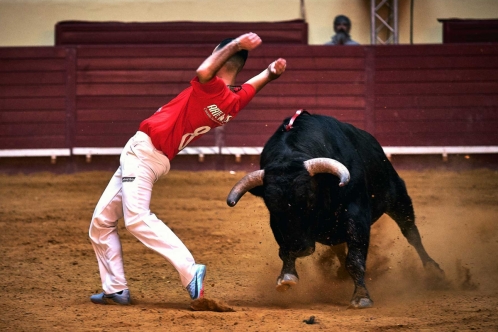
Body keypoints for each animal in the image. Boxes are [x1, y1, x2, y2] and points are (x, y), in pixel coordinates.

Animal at [226, 111, 444, 308]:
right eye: (272, 206)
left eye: (310, 200)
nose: (300, 248)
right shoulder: (278, 225)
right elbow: (285, 249)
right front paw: (286, 276)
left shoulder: (357, 215)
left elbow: (355, 258)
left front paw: (361, 297)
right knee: (338, 246)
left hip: (398, 197)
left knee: (411, 233)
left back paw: (433, 270)